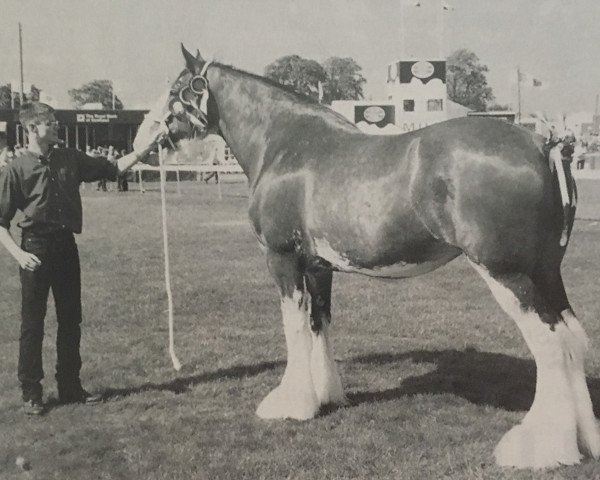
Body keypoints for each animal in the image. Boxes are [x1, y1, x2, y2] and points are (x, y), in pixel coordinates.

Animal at [135, 46, 600, 468]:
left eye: (175, 89)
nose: (141, 140)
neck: (285, 144)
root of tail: (544, 144)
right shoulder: (319, 267)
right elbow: (319, 325)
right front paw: (325, 396)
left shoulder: (283, 261)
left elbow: (294, 329)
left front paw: (290, 404)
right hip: (546, 271)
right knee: (573, 338)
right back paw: (585, 439)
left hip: (508, 274)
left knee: (551, 344)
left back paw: (539, 450)